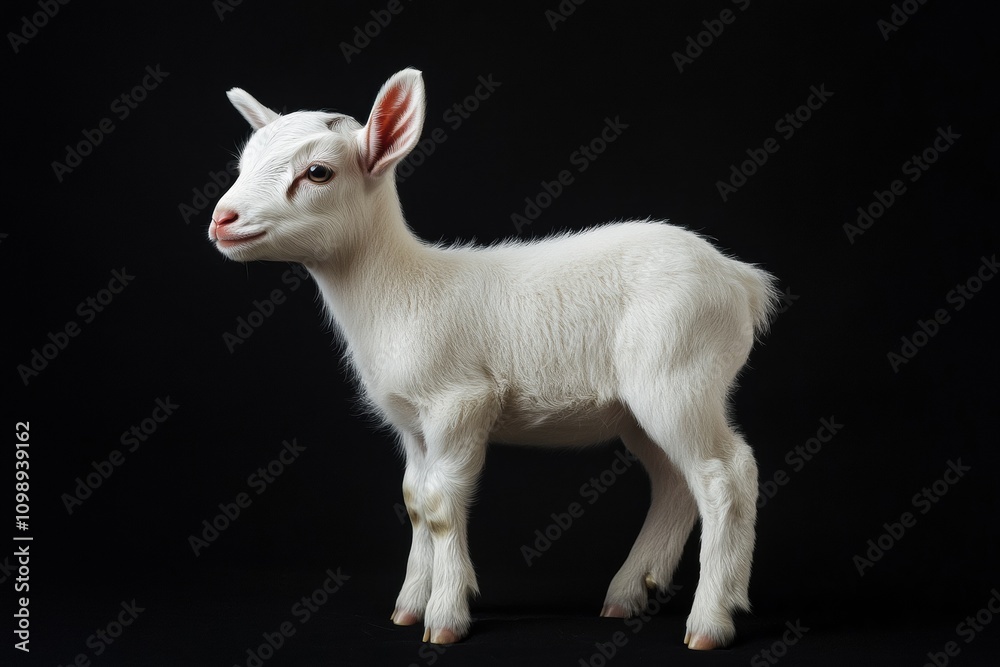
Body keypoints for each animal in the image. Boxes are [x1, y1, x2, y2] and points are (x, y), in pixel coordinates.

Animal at [209, 68, 778, 650]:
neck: (400, 290)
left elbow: (440, 508)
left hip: (679, 376)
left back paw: (711, 619)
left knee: (726, 475)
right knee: (676, 481)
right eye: (242, 164)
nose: (222, 220)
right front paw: (408, 607)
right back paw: (628, 592)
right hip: (641, 406)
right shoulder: (412, 422)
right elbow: (415, 501)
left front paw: (444, 616)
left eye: (317, 172)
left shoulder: (461, 402)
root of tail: (740, 279)